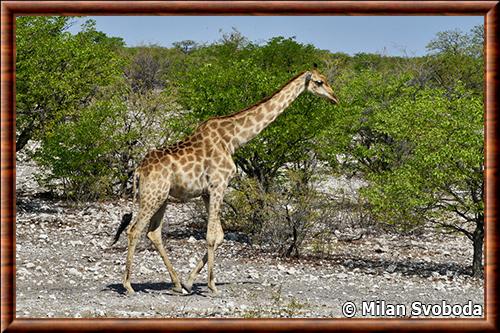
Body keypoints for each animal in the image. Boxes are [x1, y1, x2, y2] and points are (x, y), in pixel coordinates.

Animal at [111, 67, 338, 294]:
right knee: (134, 230)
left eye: (326, 80)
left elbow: (219, 235)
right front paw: (212, 285)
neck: (233, 138)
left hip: (163, 197)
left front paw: (189, 281)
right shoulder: (218, 184)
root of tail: (139, 170)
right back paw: (128, 285)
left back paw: (176, 283)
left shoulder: (206, 191)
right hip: (152, 196)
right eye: (319, 82)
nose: (334, 98)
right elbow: (212, 236)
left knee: (153, 233)